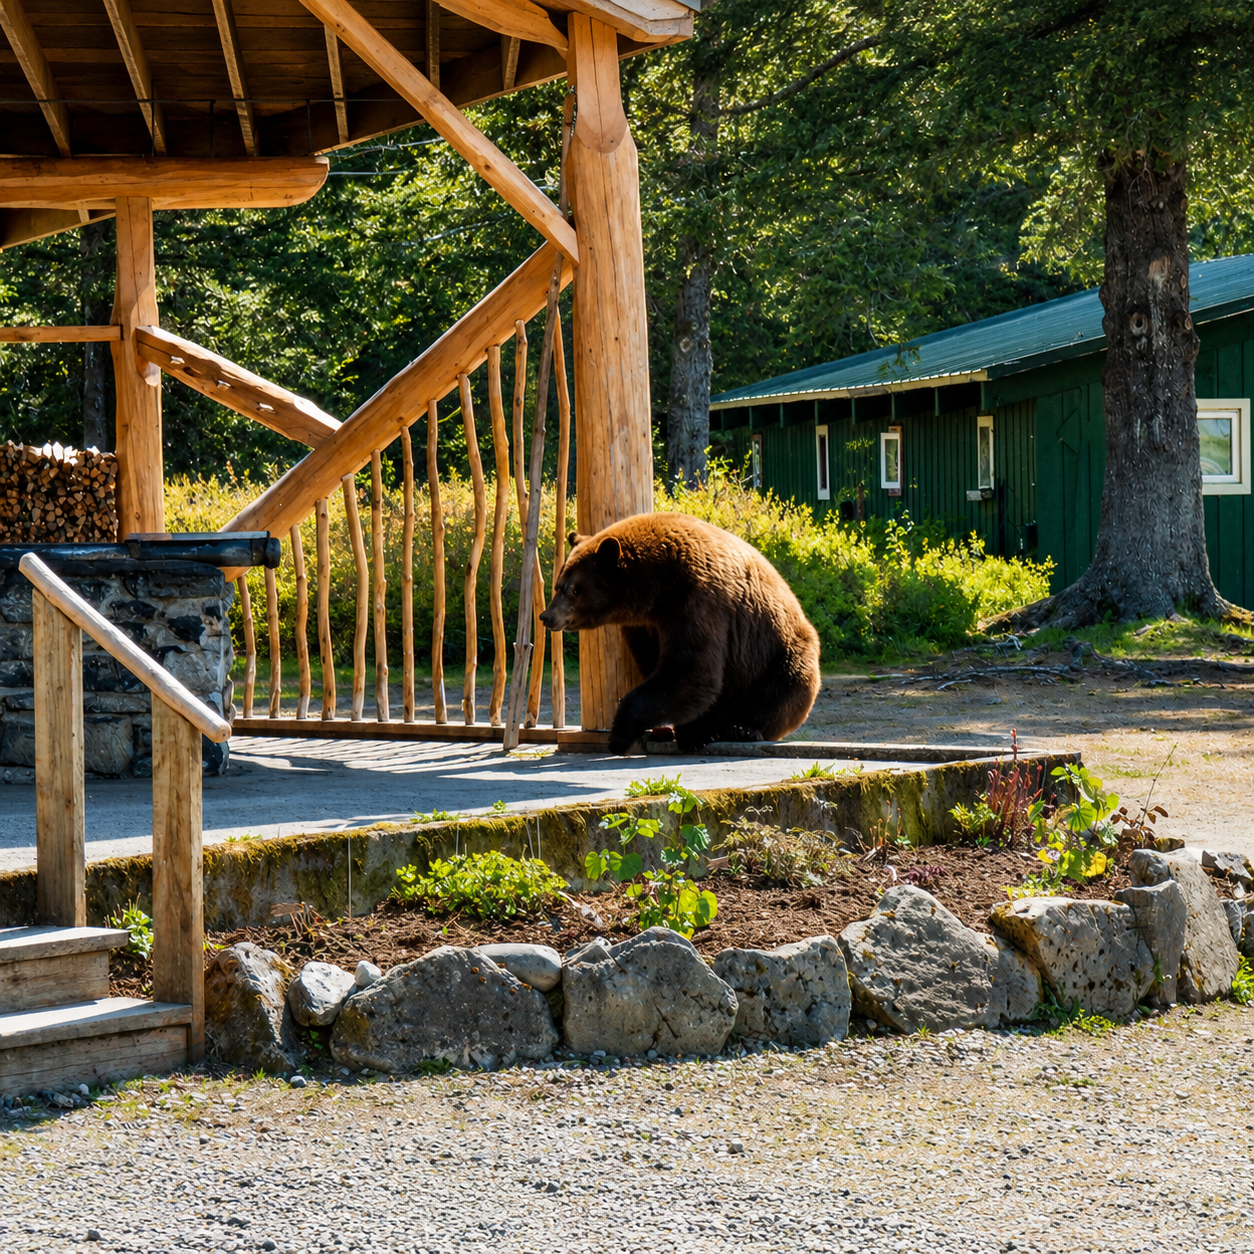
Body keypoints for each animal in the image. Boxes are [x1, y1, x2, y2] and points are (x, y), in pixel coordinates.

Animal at [539, 512, 820, 753]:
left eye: (574, 590)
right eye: (558, 585)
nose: (546, 617)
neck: (654, 587)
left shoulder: (696, 599)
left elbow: (691, 670)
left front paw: (619, 735)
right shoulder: (644, 625)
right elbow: (660, 666)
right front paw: (693, 732)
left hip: (783, 648)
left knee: (787, 686)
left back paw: (746, 728)